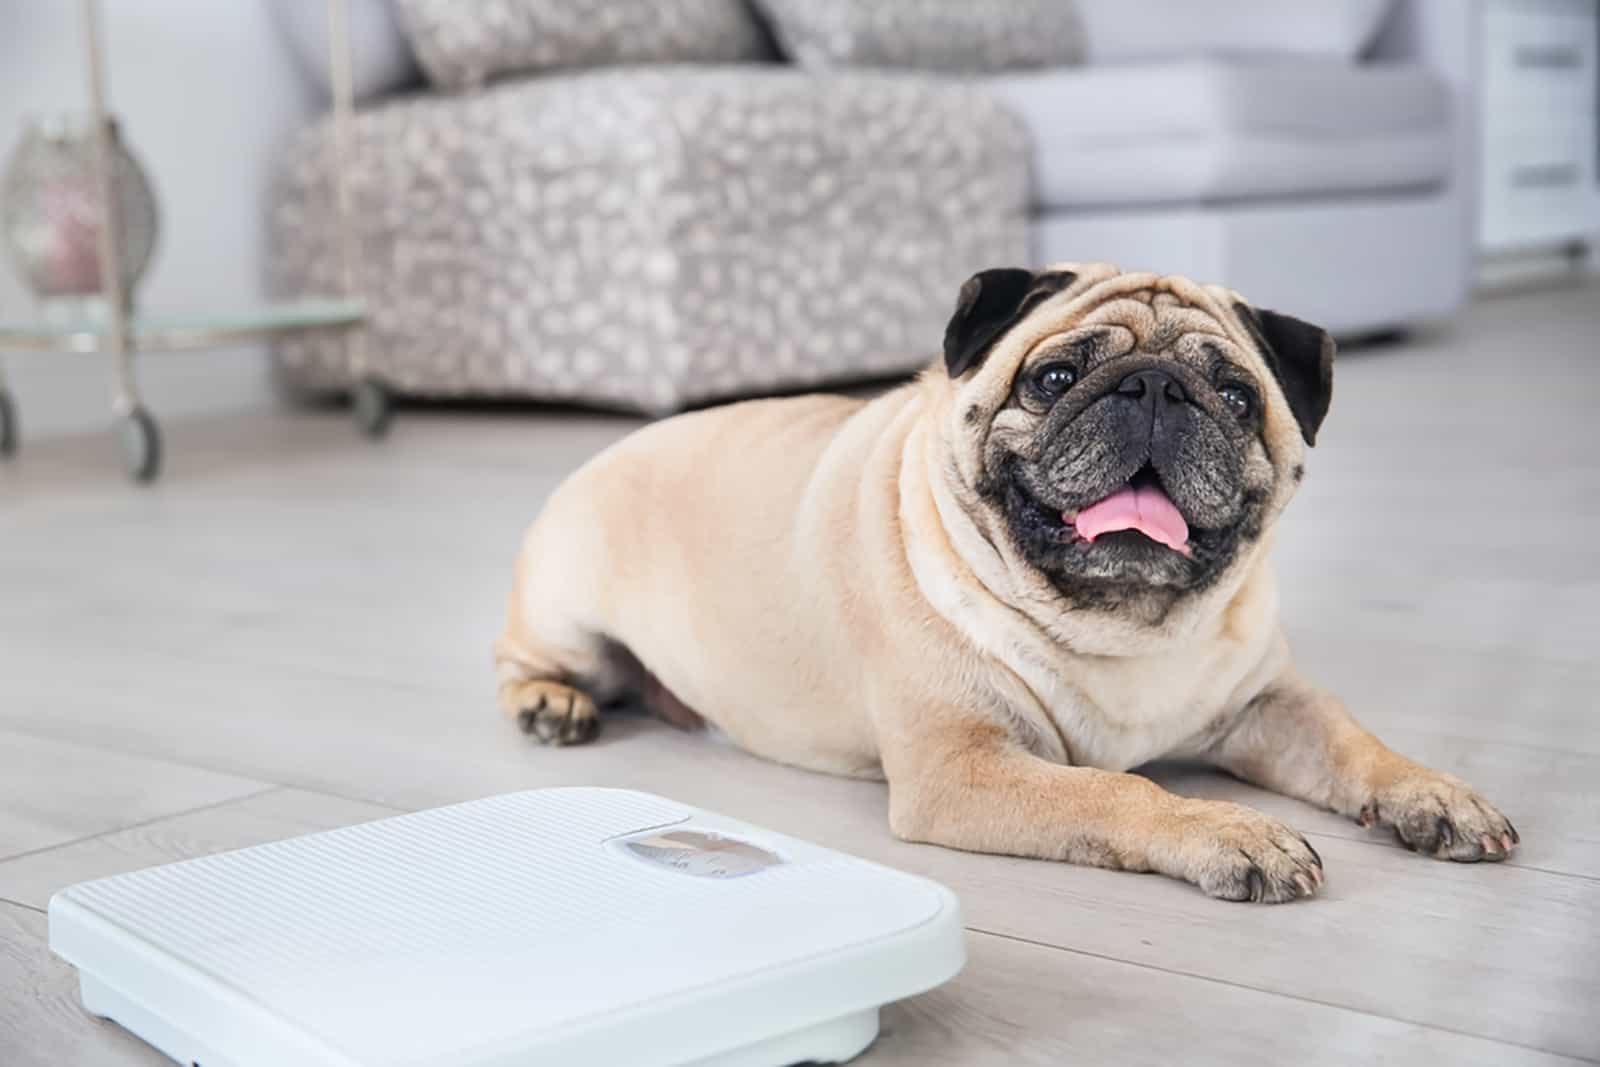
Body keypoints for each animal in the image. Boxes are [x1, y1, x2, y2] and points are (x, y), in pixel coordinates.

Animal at [492, 260, 1516, 902]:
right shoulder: (964, 766)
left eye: (1234, 396)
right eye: (1054, 377)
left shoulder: (1271, 703)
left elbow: (1355, 744)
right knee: (523, 658)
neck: (1121, 623)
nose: (1155, 389)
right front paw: (1231, 831)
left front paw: (1433, 794)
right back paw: (550, 703)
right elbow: (1120, 793)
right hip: (567, 610)